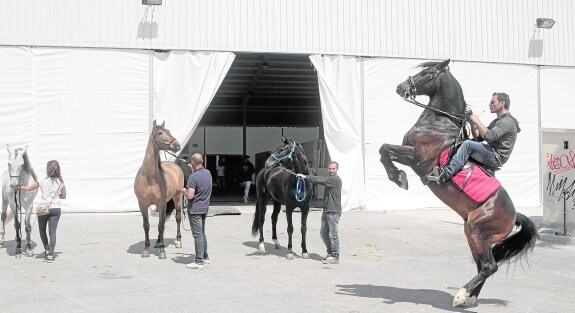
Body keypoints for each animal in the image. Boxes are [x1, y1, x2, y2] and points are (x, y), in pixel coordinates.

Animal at [133, 119, 183, 258]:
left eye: (169, 131)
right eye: (160, 133)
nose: (177, 145)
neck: (149, 178)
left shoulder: (161, 204)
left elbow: (161, 226)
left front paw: (162, 251)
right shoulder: (143, 204)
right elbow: (147, 225)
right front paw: (146, 249)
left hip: (177, 198)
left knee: (177, 218)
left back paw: (178, 241)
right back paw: (158, 241)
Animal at [380, 59, 536, 308]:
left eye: (427, 73)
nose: (400, 86)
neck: (439, 123)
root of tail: (514, 216)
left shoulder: (416, 158)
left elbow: (384, 149)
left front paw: (398, 177)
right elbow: (383, 150)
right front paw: (397, 176)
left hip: (478, 231)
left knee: (489, 266)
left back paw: (462, 295)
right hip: (472, 234)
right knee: (483, 266)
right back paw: (470, 299)